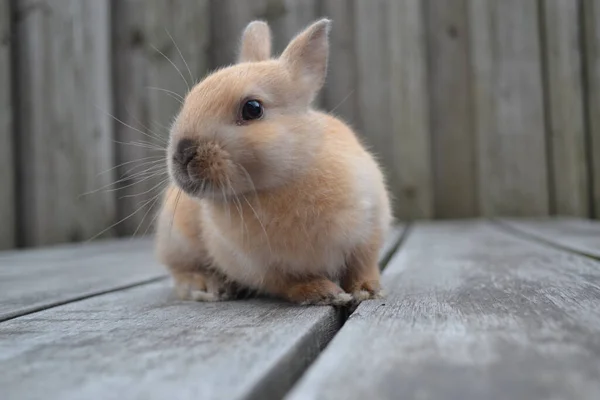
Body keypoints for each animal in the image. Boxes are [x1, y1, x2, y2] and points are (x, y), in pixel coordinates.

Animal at [154, 18, 394, 306]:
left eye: (252, 108)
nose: (182, 154)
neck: (285, 180)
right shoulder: (259, 267)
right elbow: (288, 282)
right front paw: (323, 292)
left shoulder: (369, 231)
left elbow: (362, 265)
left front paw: (367, 290)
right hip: (177, 240)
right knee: (182, 273)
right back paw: (209, 287)